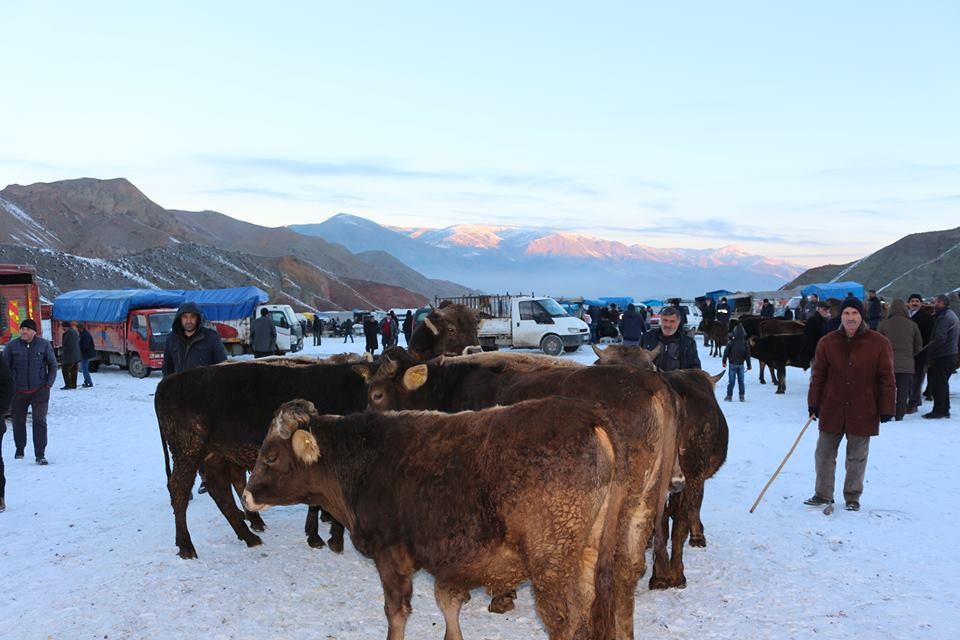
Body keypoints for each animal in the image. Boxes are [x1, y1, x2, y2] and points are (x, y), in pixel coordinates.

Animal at [154, 358, 372, 556]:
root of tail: (168, 382)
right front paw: (329, 538)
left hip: (214, 454)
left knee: (220, 489)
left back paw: (248, 535)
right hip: (188, 453)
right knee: (180, 490)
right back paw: (186, 546)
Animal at [244, 400, 628, 640]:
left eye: (271, 456)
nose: (247, 496)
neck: (364, 461)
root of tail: (589, 416)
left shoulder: (391, 556)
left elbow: (396, 612)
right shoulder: (450, 563)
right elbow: (448, 603)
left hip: (551, 563)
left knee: (566, 622)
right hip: (589, 555)